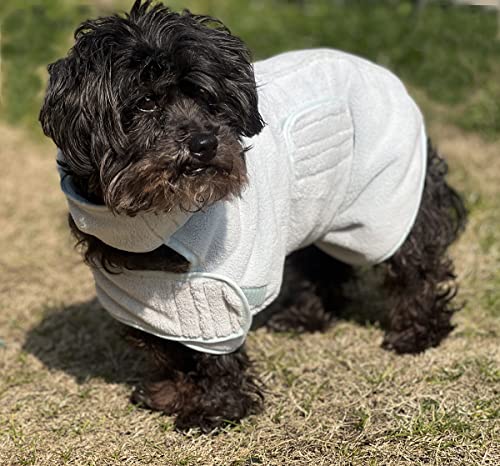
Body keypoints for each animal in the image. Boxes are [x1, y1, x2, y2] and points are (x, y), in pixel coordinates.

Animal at [38, 0, 464, 432]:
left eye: (209, 101)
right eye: (146, 102)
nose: (204, 143)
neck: (150, 216)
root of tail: (383, 74)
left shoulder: (220, 291)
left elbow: (214, 354)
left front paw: (217, 408)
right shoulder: (134, 294)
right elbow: (167, 348)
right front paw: (171, 394)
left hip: (386, 201)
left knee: (414, 267)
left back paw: (418, 333)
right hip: (319, 204)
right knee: (322, 263)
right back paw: (305, 317)